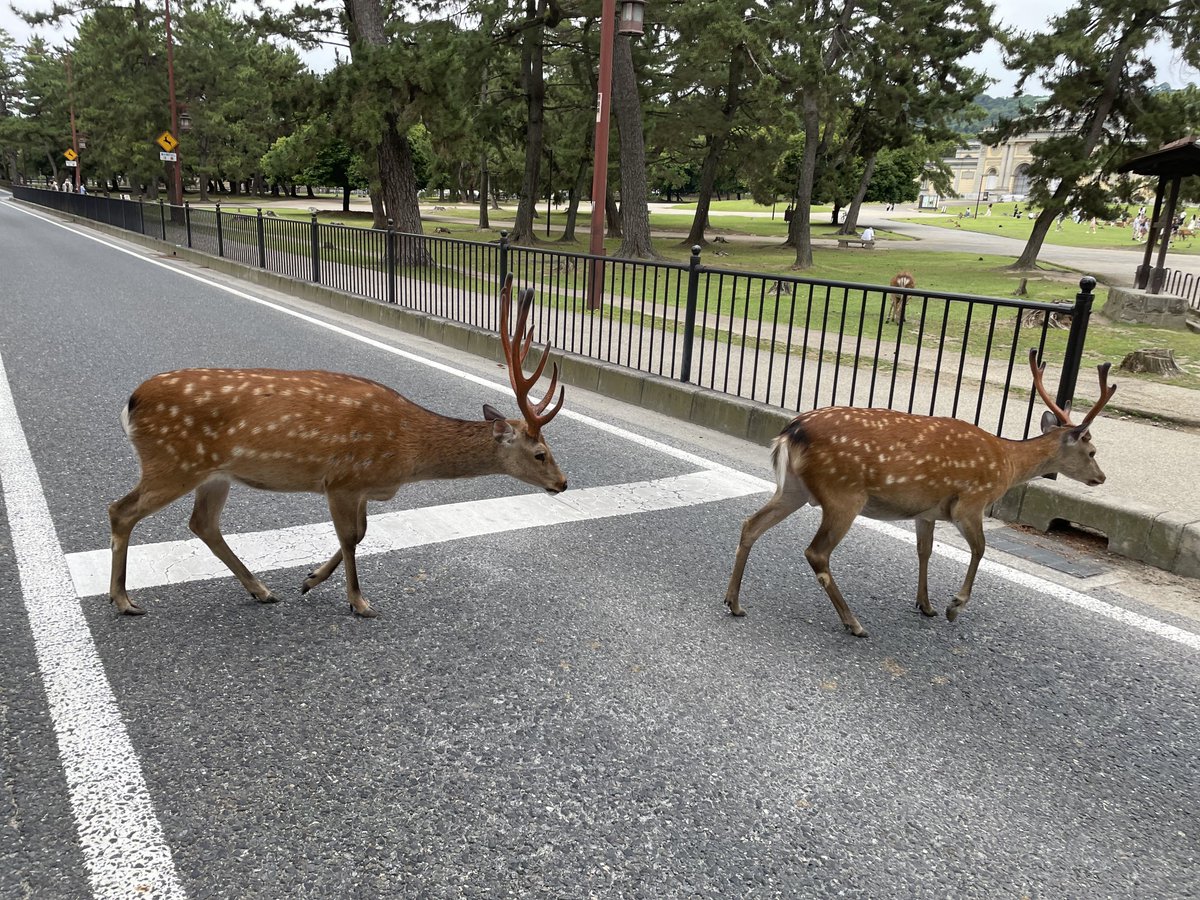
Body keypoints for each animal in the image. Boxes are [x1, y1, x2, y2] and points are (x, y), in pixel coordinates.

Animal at [108, 275, 566, 619]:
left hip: (214, 473)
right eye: (540, 454)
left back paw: (261, 590)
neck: (407, 451)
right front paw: (359, 602)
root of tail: (131, 402)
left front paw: (310, 580)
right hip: (173, 461)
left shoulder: (360, 487)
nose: (562, 483)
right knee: (122, 510)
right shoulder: (343, 479)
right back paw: (124, 600)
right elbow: (350, 538)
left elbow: (360, 533)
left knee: (202, 523)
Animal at [723, 349, 1116, 638]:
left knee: (750, 524)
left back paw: (734, 602)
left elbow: (924, 551)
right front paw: (954, 606)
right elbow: (980, 549)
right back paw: (854, 623)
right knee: (816, 552)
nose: (1101, 477)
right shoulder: (970, 501)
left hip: (793, 487)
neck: (1007, 462)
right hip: (843, 494)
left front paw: (925, 604)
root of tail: (790, 431)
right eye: (1092, 451)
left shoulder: (926, 511)